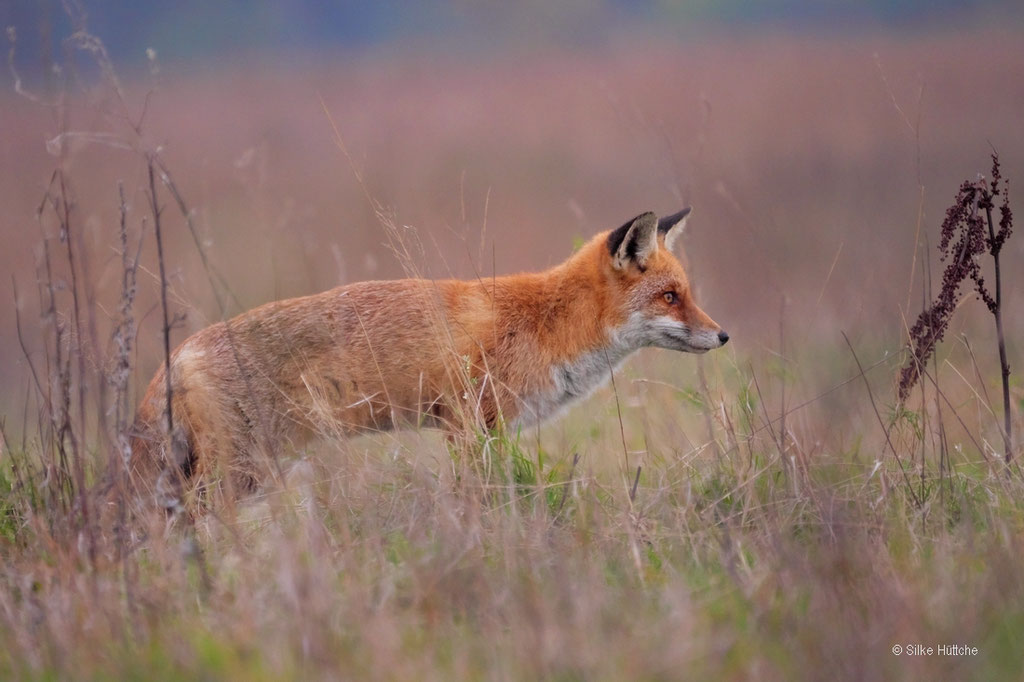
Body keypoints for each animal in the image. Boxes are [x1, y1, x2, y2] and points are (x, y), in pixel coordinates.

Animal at [129, 208, 728, 507]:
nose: (722, 337)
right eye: (670, 297)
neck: (545, 323)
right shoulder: (469, 423)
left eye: (686, 293)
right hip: (238, 475)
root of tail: (174, 355)